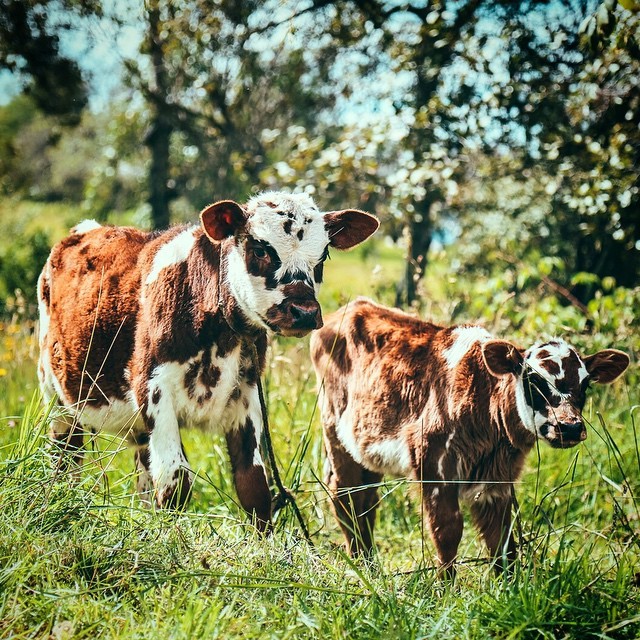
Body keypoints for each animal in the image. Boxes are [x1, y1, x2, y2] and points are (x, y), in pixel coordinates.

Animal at [37, 191, 378, 528]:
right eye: (260, 249)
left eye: (322, 257)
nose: (304, 312)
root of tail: (85, 229)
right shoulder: (153, 390)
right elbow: (175, 481)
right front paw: (171, 539)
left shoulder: (247, 393)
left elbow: (253, 486)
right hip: (57, 399)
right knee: (66, 456)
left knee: (143, 471)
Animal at [310, 298, 632, 572]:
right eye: (533, 380)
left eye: (586, 385)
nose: (569, 426)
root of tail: (353, 306)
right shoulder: (434, 465)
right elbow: (447, 532)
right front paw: (445, 592)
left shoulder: (498, 480)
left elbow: (503, 540)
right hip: (334, 431)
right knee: (345, 494)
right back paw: (360, 565)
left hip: (365, 448)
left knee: (366, 499)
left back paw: (368, 564)